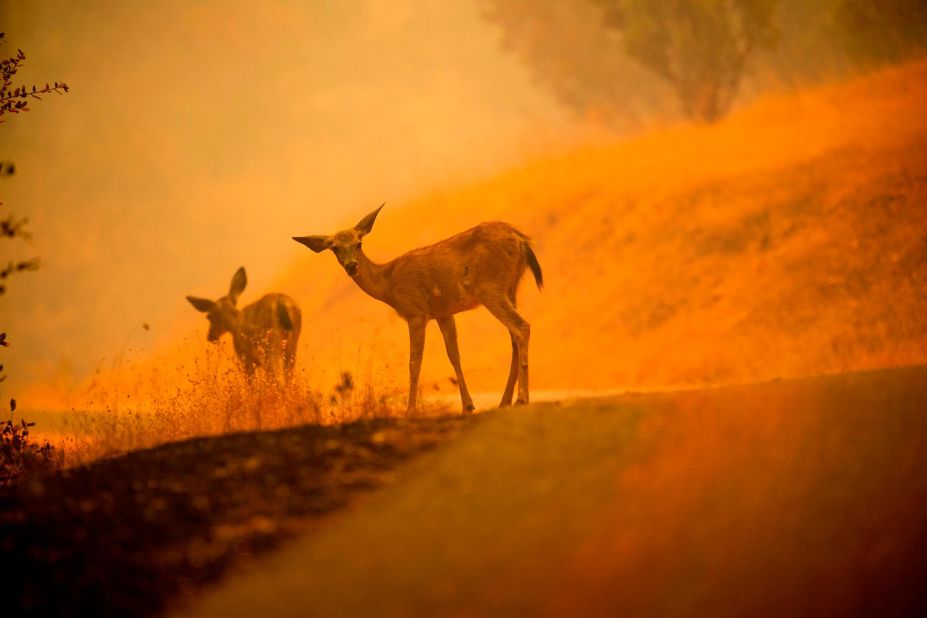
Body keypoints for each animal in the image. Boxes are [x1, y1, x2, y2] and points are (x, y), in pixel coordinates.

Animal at [294, 205, 544, 412]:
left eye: (358, 243)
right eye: (335, 248)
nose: (352, 266)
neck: (389, 284)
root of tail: (521, 240)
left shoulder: (416, 312)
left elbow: (414, 364)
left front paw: (410, 411)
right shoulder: (444, 313)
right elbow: (454, 356)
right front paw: (468, 405)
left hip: (489, 288)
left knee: (522, 327)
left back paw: (522, 398)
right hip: (510, 288)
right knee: (514, 338)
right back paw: (505, 401)